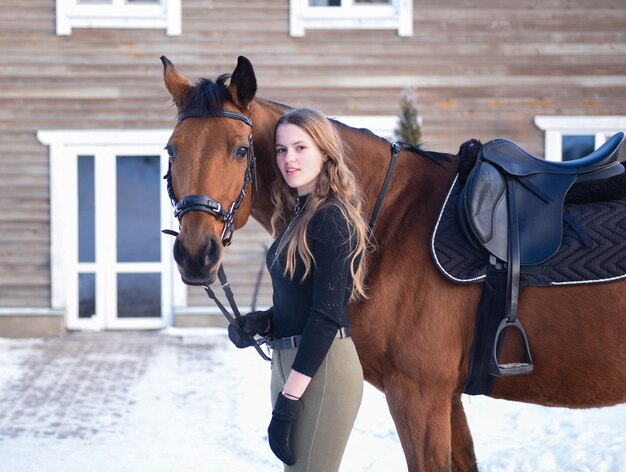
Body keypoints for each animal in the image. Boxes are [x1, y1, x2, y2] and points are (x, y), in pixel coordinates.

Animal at [160, 57, 624, 470]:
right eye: (171, 151)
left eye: (241, 150)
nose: (196, 255)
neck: (389, 216)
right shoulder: (447, 398)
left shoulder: (418, 395)